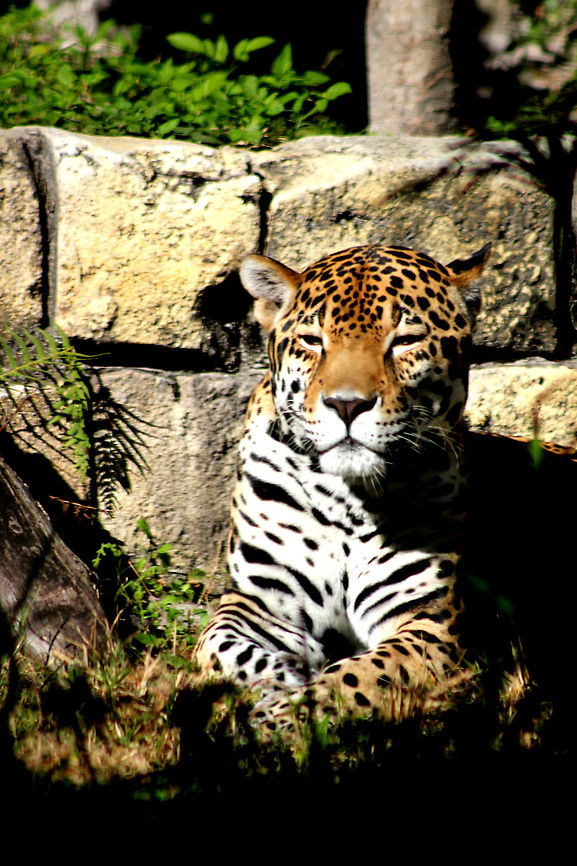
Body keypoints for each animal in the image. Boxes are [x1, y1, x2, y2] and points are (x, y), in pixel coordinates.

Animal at [194, 240, 497, 733]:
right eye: (313, 341)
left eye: (405, 342)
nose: (347, 404)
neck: (346, 500)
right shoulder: (255, 598)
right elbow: (220, 644)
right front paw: (285, 675)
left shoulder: (431, 626)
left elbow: (359, 676)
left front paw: (283, 719)